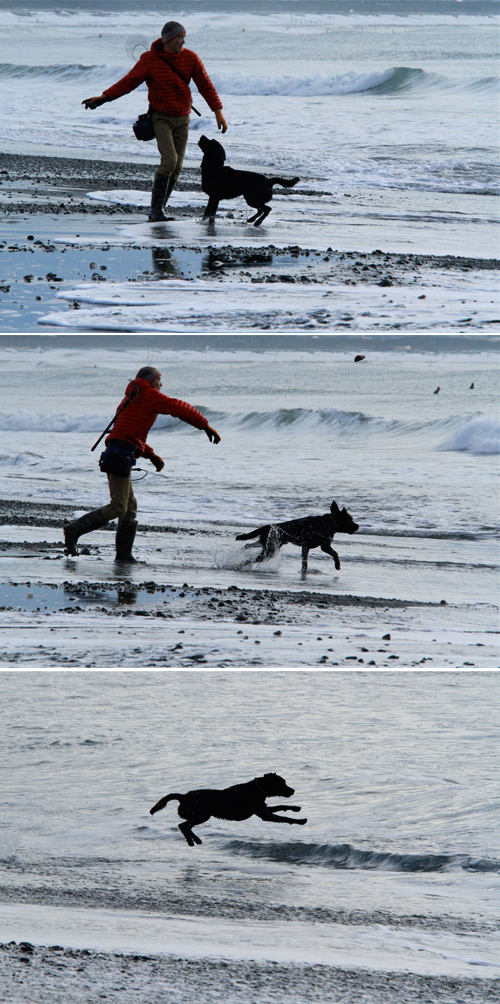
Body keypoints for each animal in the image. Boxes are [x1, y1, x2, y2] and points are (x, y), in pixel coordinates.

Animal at [148, 775, 305, 847]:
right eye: (282, 783)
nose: (293, 790)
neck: (257, 789)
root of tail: (183, 796)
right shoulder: (264, 814)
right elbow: (284, 818)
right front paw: (300, 821)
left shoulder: (262, 810)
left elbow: (282, 806)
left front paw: (296, 808)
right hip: (202, 815)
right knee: (183, 826)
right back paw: (193, 841)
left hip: (199, 815)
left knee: (185, 826)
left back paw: (195, 840)